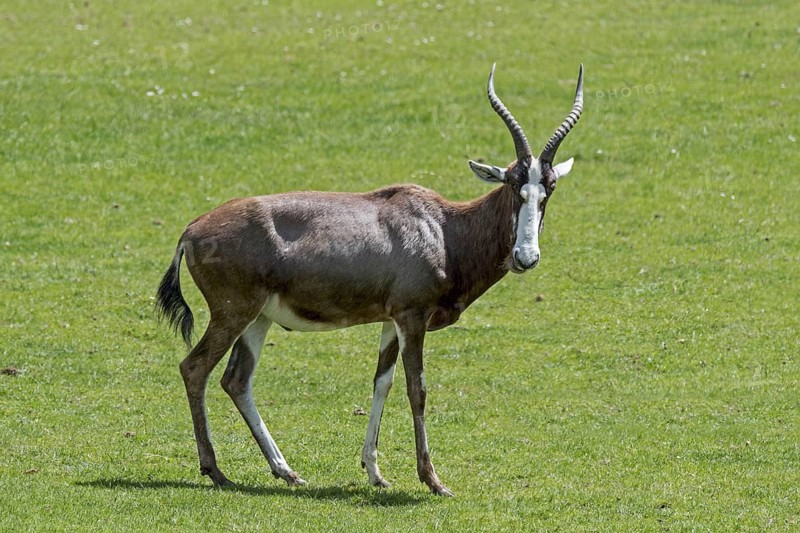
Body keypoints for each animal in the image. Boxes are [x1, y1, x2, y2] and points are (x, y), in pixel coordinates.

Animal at [156, 64, 584, 497]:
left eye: (548, 189)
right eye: (513, 185)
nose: (525, 257)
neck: (443, 227)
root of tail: (190, 231)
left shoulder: (391, 322)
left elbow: (382, 382)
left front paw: (376, 473)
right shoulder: (412, 318)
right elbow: (417, 389)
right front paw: (433, 481)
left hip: (258, 320)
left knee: (237, 380)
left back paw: (286, 471)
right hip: (232, 315)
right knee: (195, 368)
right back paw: (216, 470)